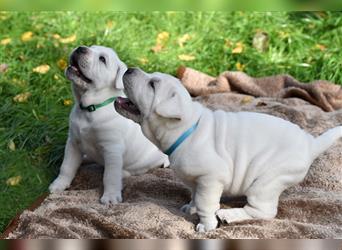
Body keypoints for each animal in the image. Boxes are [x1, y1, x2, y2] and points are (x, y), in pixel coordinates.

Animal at [48, 46, 169, 204]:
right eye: (90, 47)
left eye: (102, 59)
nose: (80, 48)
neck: (91, 108)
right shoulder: (73, 142)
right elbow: (67, 166)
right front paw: (58, 185)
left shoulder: (112, 149)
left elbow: (110, 176)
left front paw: (111, 196)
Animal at [115, 67, 342, 232]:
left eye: (152, 84)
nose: (130, 69)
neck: (187, 128)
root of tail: (310, 143)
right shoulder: (197, 181)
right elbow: (195, 194)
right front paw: (190, 207)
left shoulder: (211, 178)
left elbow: (206, 203)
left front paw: (206, 225)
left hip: (268, 181)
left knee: (263, 211)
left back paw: (229, 215)